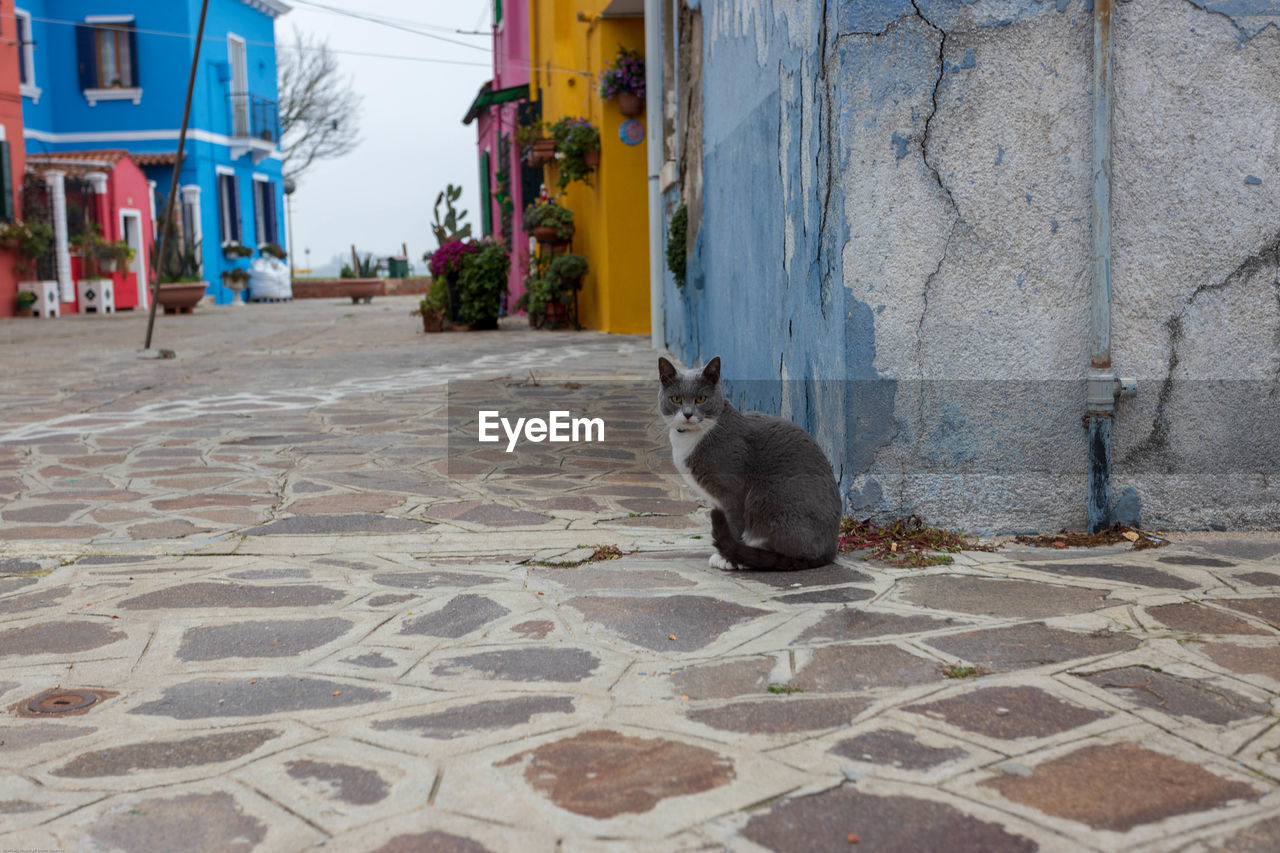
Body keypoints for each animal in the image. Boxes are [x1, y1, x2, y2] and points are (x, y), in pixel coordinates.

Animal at [660, 356, 839, 568]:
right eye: (676, 399)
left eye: (701, 399)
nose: (687, 414)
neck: (690, 438)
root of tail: (829, 551)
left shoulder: (733, 492)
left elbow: (734, 526)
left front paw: (727, 558)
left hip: (766, 496)